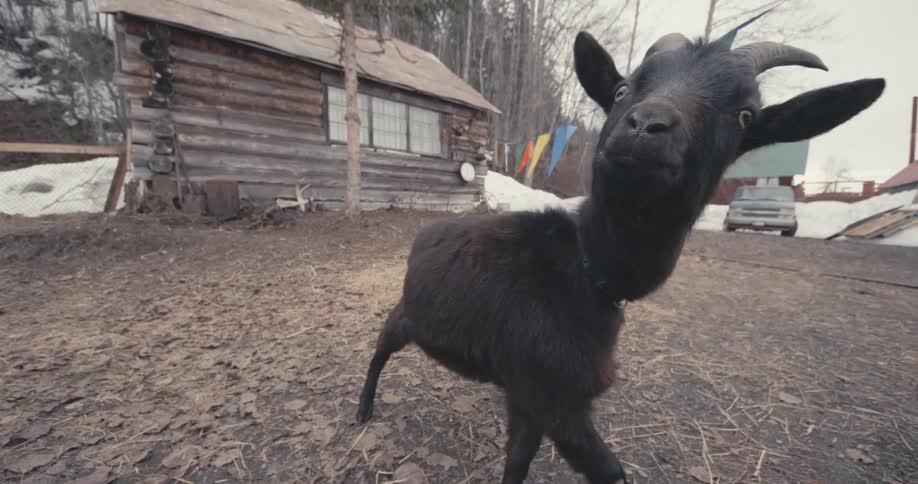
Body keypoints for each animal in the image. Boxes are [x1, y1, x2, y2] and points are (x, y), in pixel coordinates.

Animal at [356, 26, 884, 484]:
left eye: (745, 116)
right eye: (622, 89)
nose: (647, 125)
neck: (586, 271)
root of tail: (429, 228)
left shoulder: (534, 398)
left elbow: (520, 461)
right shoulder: (551, 396)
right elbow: (609, 471)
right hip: (407, 315)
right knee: (380, 347)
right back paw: (363, 410)